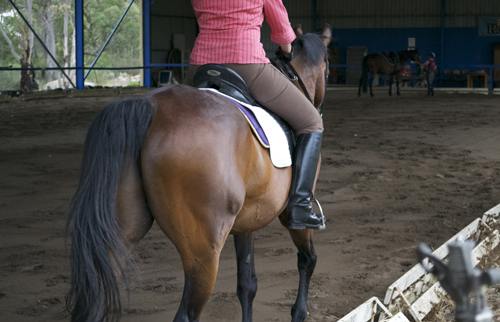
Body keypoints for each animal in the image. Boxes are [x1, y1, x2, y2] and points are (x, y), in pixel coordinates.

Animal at [65, 23, 332, 322]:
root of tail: (151, 108)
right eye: (328, 66)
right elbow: (307, 259)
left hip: (122, 230)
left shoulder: (248, 219)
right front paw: (299, 312)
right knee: (187, 314)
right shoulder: (292, 214)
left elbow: (247, 284)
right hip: (203, 253)